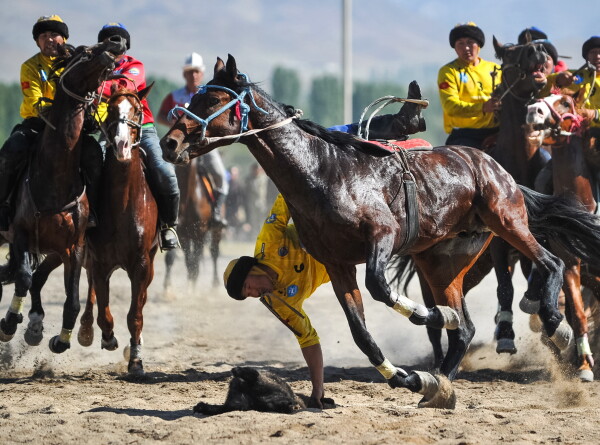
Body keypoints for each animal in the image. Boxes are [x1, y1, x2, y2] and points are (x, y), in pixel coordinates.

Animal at [0, 36, 125, 352]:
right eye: (82, 53)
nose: (115, 42)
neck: (54, 177)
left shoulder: (74, 248)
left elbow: (72, 301)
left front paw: (61, 339)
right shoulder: (20, 235)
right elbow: (22, 278)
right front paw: (9, 322)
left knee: (39, 277)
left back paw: (35, 324)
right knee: (29, 277)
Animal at [74, 86, 158, 374]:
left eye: (137, 110)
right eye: (110, 109)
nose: (121, 145)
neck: (123, 203)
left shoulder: (141, 264)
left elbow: (135, 314)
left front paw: (136, 359)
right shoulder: (99, 262)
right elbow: (104, 312)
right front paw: (108, 337)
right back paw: (86, 331)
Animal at [164, 158, 223, 294]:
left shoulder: (199, 233)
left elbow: (195, 260)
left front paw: (192, 289)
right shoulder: (181, 234)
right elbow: (176, 259)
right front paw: (168, 289)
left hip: (216, 231)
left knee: (214, 252)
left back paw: (215, 284)